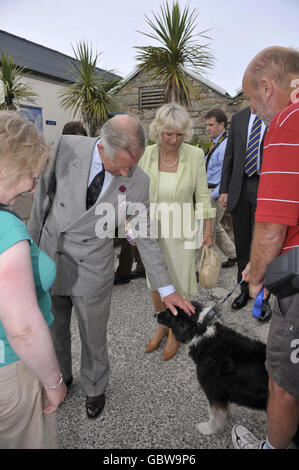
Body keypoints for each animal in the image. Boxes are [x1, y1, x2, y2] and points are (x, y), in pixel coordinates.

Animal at [157, 302, 299, 444]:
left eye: (169, 313)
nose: (155, 314)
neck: (201, 330)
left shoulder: (214, 391)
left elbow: (213, 415)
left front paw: (208, 429)